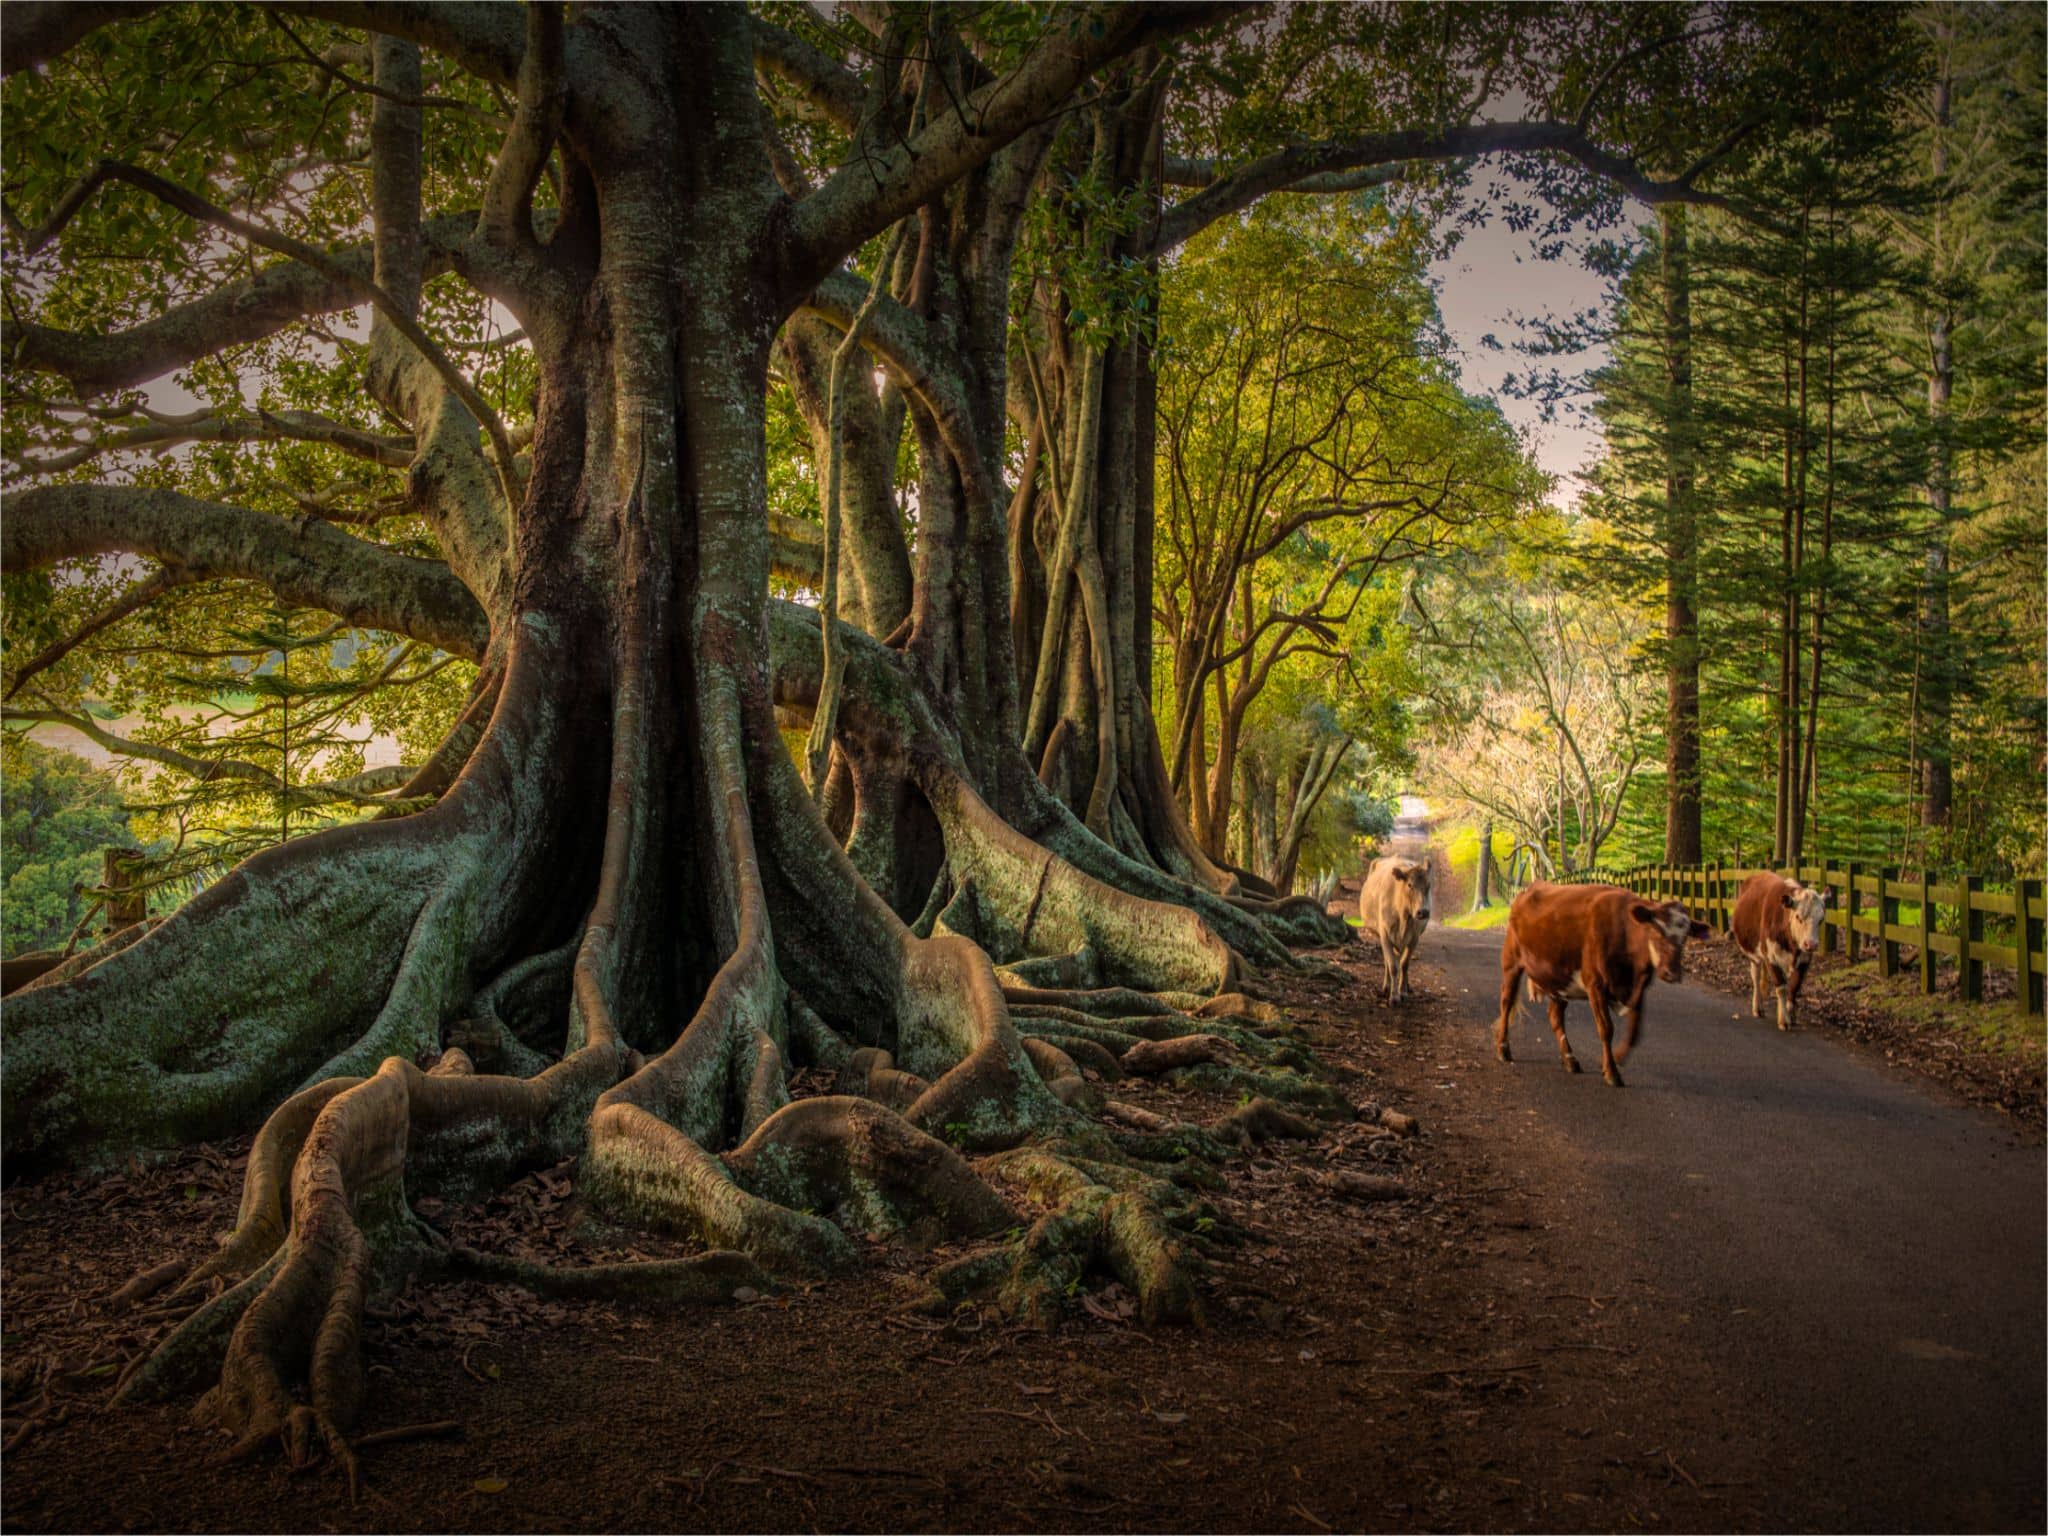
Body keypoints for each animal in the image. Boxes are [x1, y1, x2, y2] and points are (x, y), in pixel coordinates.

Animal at [1359, 856, 1441, 1011]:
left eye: (1428, 885)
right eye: (1409, 885)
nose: (1423, 912)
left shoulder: (1414, 938)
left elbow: (1404, 964)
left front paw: (1402, 992)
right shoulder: (1385, 935)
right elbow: (1392, 966)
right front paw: (1394, 996)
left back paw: (1406, 986)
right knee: (1387, 961)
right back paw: (1386, 987)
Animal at [1490, 884, 1712, 1089]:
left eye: (1684, 938)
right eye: (1655, 932)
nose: (1671, 973)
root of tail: (1530, 889)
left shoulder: (1638, 989)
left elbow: (1634, 1031)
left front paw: (1616, 1058)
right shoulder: (1595, 984)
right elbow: (1606, 1029)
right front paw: (1611, 1072)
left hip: (1559, 978)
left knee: (1555, 1017)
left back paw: (1570, 1059)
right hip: (1511, 963)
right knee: (1506, 1002)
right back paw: (1503, 1049)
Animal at [1736, 876, 1835, 1036]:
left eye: (1821, 920)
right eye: (1798, 917)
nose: (1811, 944)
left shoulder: (1805, 961)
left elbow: (1794, 987)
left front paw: (1791, 1015)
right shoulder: (1771, 957)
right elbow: (1781, 987)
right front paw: (1784, 1020)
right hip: (1754, 954)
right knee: (1755, 977)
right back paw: (1758, 1007)